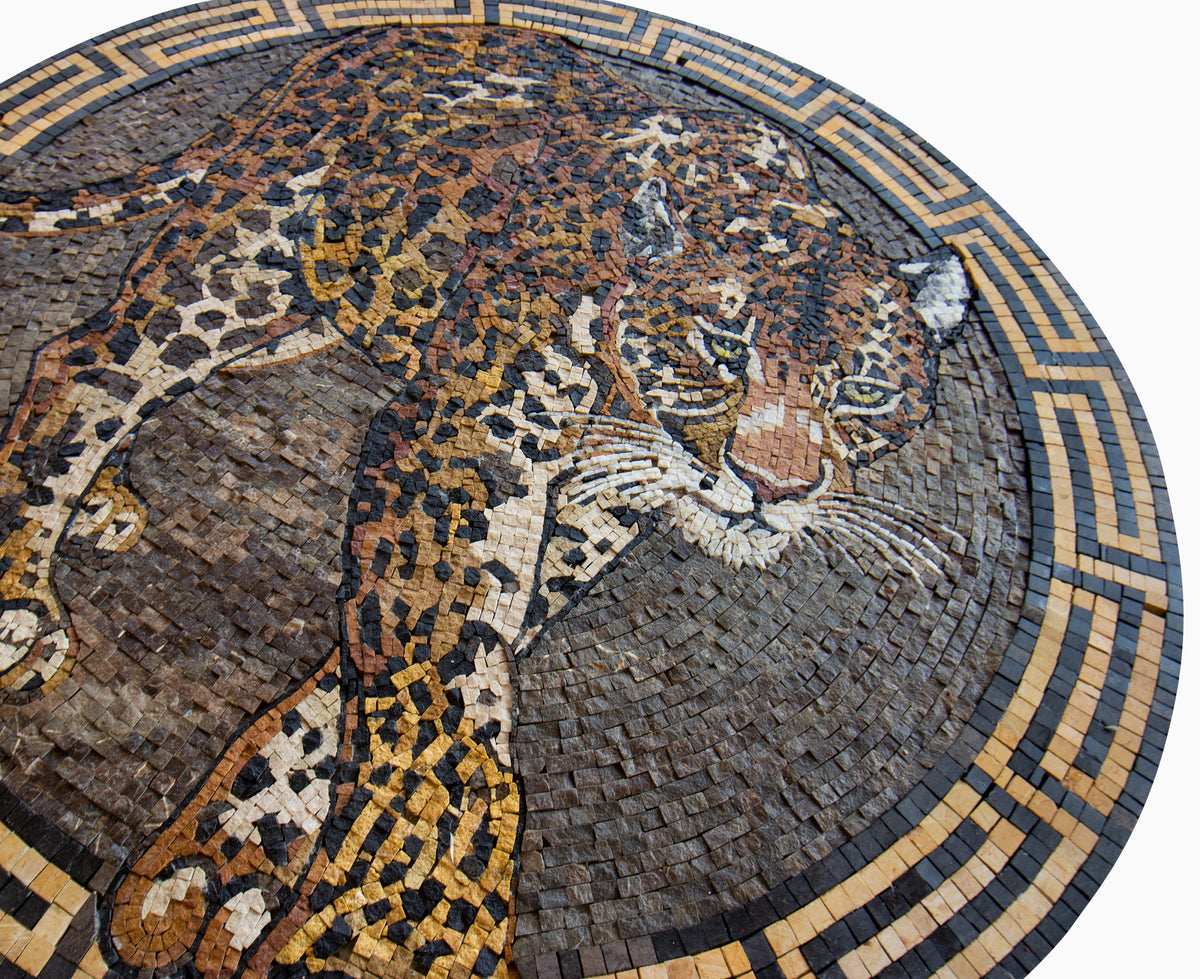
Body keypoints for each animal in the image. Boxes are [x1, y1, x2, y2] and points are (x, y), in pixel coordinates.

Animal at [0, 25, 969, 979]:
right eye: (722, 346)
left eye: (869, 392)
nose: (775, 487)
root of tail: (355, 38)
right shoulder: (472, 439)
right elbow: (446, 690)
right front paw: (400, 927)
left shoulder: (587, 516)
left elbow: (390, 672)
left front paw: (227, 861)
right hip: (244, 261)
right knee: (90, 362)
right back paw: (22, 606)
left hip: (311, 308)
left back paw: (102, 499)